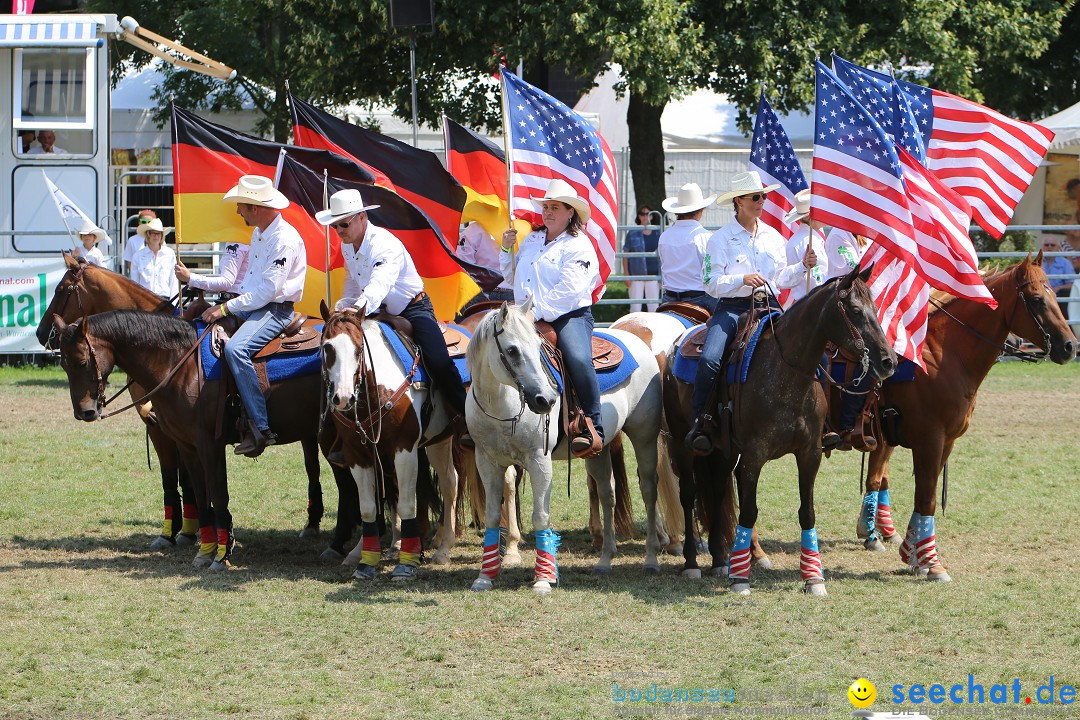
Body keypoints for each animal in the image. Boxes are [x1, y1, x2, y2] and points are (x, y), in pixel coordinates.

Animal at [35, 257, 336, 552]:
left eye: (60, 290)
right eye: (64, 365)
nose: (40, 333)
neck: (176, 359)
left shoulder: (172, 432)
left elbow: (183, 479)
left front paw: (190, 533)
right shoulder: (171, 431)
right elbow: (180, 479)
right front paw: (187, 531)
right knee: (313, 466)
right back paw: (313, 524)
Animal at [317, 306, 457, 582]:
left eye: (359, 348)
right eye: (327, 348)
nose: (343, 397)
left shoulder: (405, 450)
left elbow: (407, 503)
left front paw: (407, 565)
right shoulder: (357, 454)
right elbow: (369, 508)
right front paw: (366, 562)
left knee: (452, 484)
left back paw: (445, 550)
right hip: (436, 442)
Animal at [466, 295, 665, 595]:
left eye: (537, 347)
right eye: (512, 350)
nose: (546, 400)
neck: (501, 407)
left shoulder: (540, 461)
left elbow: (541, 517)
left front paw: (543, 579)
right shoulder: (486, 462)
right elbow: (491, 516)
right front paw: (485, 576)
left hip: (644, 437)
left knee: (649, 490)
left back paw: (651, 558)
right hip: (599, 450)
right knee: (607, 493)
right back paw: (605, 559)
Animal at [660, 267, 898, 595]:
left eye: (875, 308)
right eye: (855, 310)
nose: (889, 361)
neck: (785, 373)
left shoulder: (809, 454)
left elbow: (807, 512)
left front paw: (814, 577)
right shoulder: (752, 456)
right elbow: (749, 511)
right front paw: (740, 579)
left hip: (722, 451)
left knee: (718, 492)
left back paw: (720, 561)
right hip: (683, 443)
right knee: (688, 494)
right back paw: (692, 563)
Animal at [851, 255, 1071, 582]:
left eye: (1055, 295)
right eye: (1036, 299)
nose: (1070, 346)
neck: (942, 358)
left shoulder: (946, 441)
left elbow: (919, 493)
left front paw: (913, 554)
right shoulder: (928, 440)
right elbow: (926, 497)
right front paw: (931, 562)